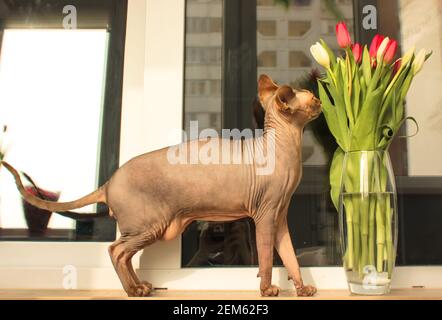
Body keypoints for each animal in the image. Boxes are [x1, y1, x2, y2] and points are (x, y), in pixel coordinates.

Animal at [0, 75, 322, 298]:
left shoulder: (279, 217)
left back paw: (141, 286)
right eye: (310, 98)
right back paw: (133, 291)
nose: (320, 101)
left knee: (126, 254)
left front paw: (303, 289)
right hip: (149, 224)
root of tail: (109, 181)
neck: (287, 150)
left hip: (146, 227)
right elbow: (267, 258)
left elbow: (290, 257)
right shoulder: (264, 216)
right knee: (116, 250)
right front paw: (267, 290)